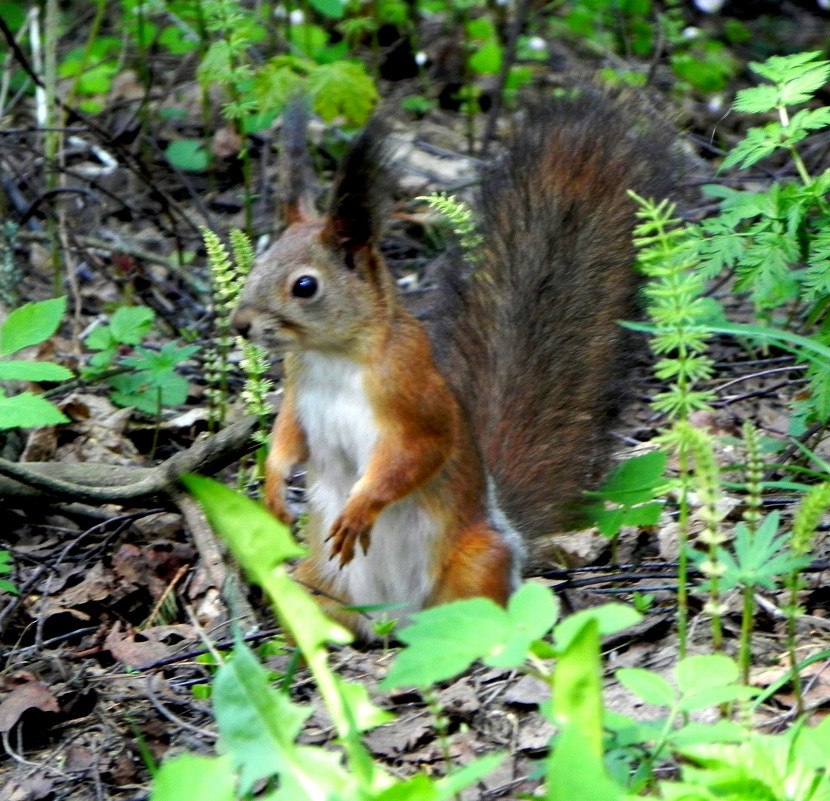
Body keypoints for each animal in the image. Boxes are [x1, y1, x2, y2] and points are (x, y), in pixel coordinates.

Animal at [231, 94, 680, 636]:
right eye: (258, 264)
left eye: (304, 286)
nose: (240, 324)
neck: (332, 356)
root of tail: (396, 621)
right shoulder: (300, 391)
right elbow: (287, 436)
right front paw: (274, 487)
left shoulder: (412, 389)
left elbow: (422, 450)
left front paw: (361, 507)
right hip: (316, 579)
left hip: (477, 558)